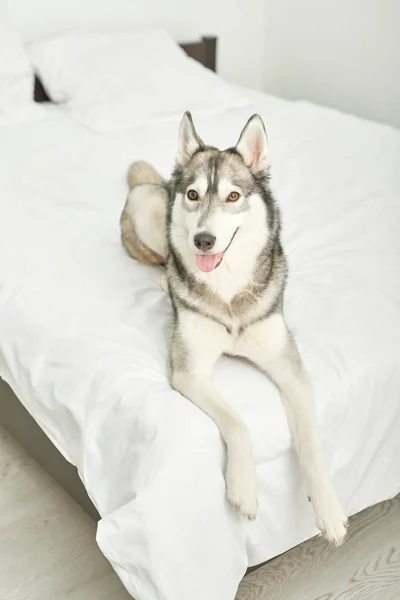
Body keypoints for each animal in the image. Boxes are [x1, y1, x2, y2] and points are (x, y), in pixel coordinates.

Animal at [120, 111, 348, 544]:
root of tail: (162, 181)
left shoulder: (292, 371)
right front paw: (244, 488)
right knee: (160, 257)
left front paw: (328, 508)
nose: (203, 240)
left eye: (232, 197)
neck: (227, 289)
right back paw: (166, 279)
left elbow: (310, 439)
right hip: (145, 206)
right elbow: (238, 423)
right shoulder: (189, 372)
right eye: (194, 195)